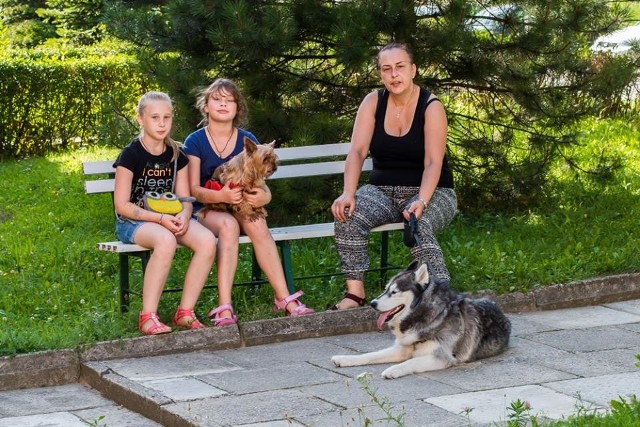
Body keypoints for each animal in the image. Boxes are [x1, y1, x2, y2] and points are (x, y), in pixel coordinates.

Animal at [332, 262, 512, 380]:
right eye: (385, 289)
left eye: (394, 292)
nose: (372, 303)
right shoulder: (401, 349)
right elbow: (370, 355)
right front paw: (345, 359)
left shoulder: (442, 357)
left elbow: (411, 362)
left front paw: (393, 370)